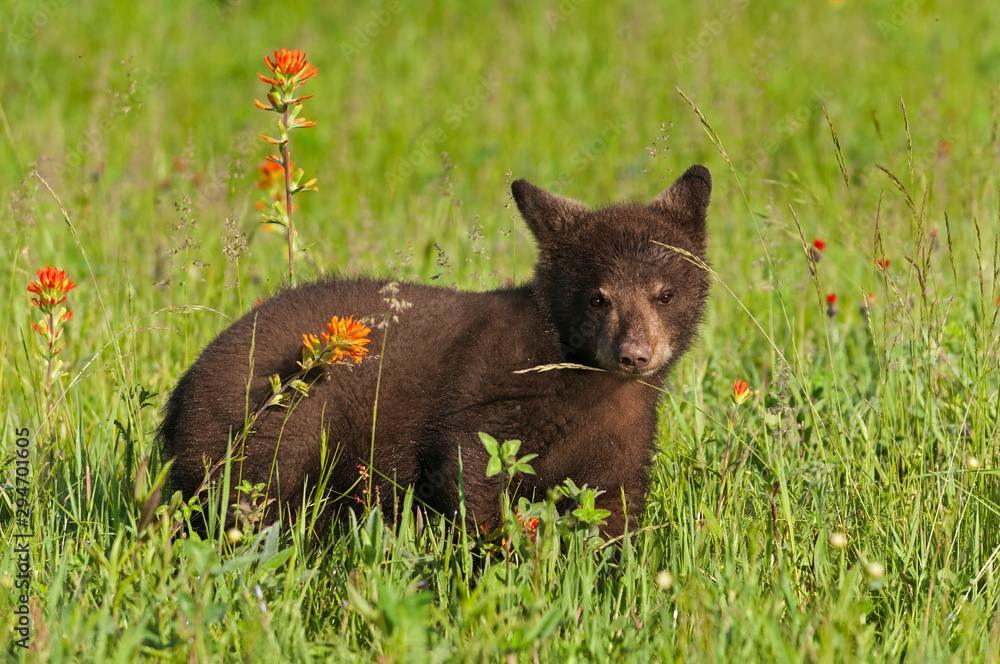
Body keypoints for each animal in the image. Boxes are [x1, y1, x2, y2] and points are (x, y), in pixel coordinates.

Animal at [158, 164, 711, 537]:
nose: (634, 355)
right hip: (265, 439)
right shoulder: (490, 404)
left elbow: (613, 514)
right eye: (598, 297)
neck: (587, 384)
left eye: (665, 294)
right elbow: (473, 479)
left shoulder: (622, 442)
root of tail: (183, 390)